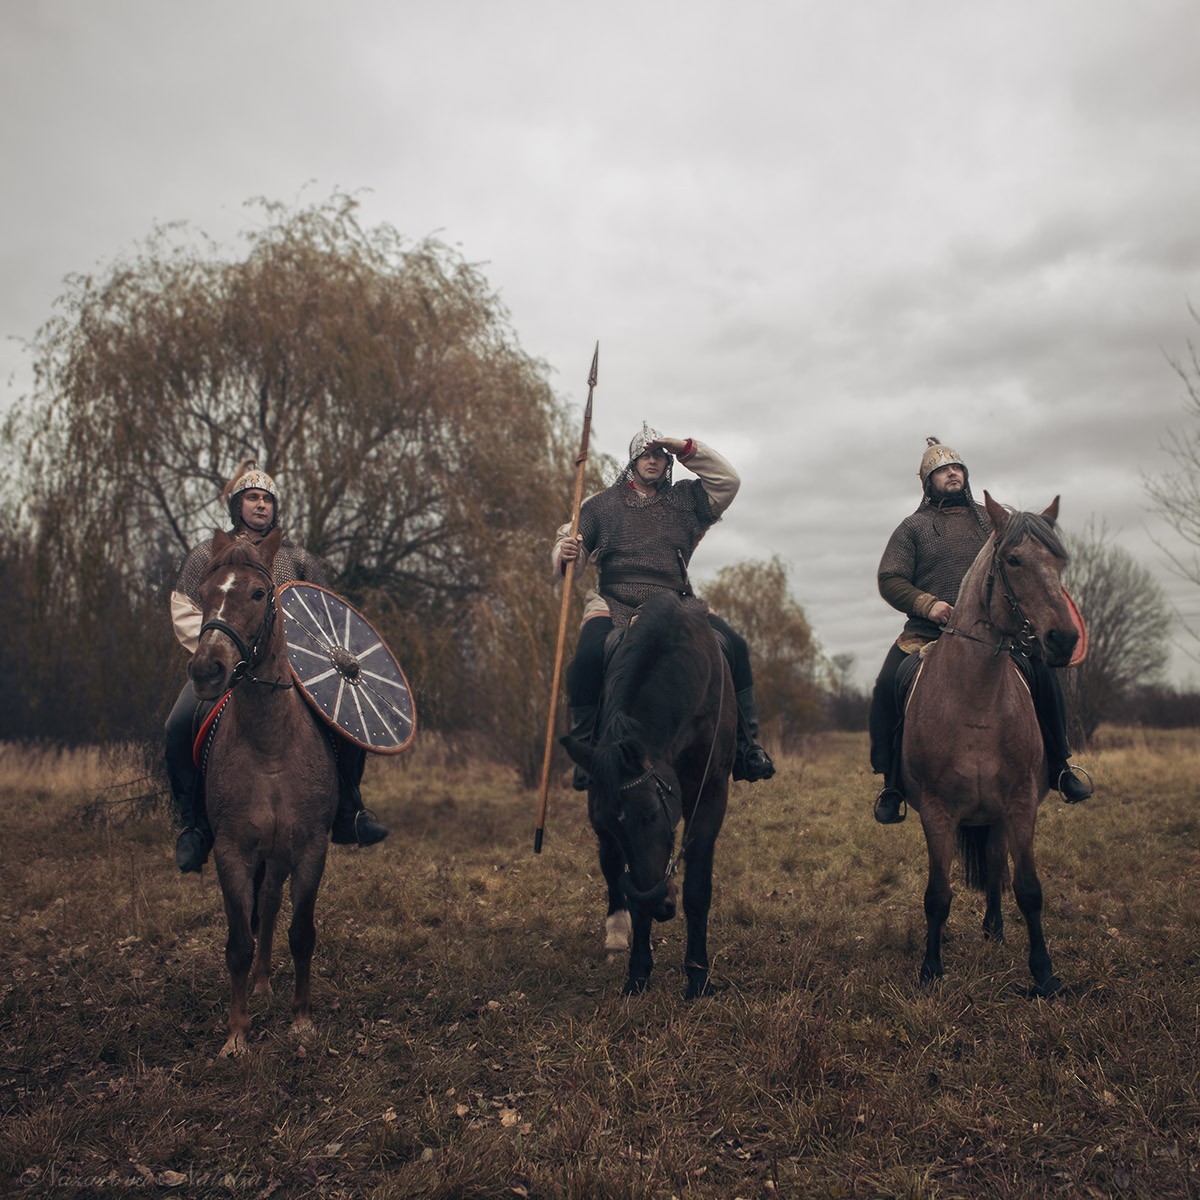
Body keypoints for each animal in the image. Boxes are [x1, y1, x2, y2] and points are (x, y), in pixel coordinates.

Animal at [189, 530, 338, 1056]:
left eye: (258, 593)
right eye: (204, 594)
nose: (207, 670)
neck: (270, 745)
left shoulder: (311, 846)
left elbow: (302, 933)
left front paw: (303, 1020)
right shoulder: (231, 849)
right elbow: (238, 942)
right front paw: (236, 1034)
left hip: (280, 852)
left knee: (272, 903)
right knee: (264, 909)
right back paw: (258, 984)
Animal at [559, 595, 734, 998]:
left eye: (652, 813)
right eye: (613, 823)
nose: (660, 906)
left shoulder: (712, 791)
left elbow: (697, 888)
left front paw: (698, 977)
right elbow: (627, 883)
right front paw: (638, 975)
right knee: (610, 869)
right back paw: (615, 936)